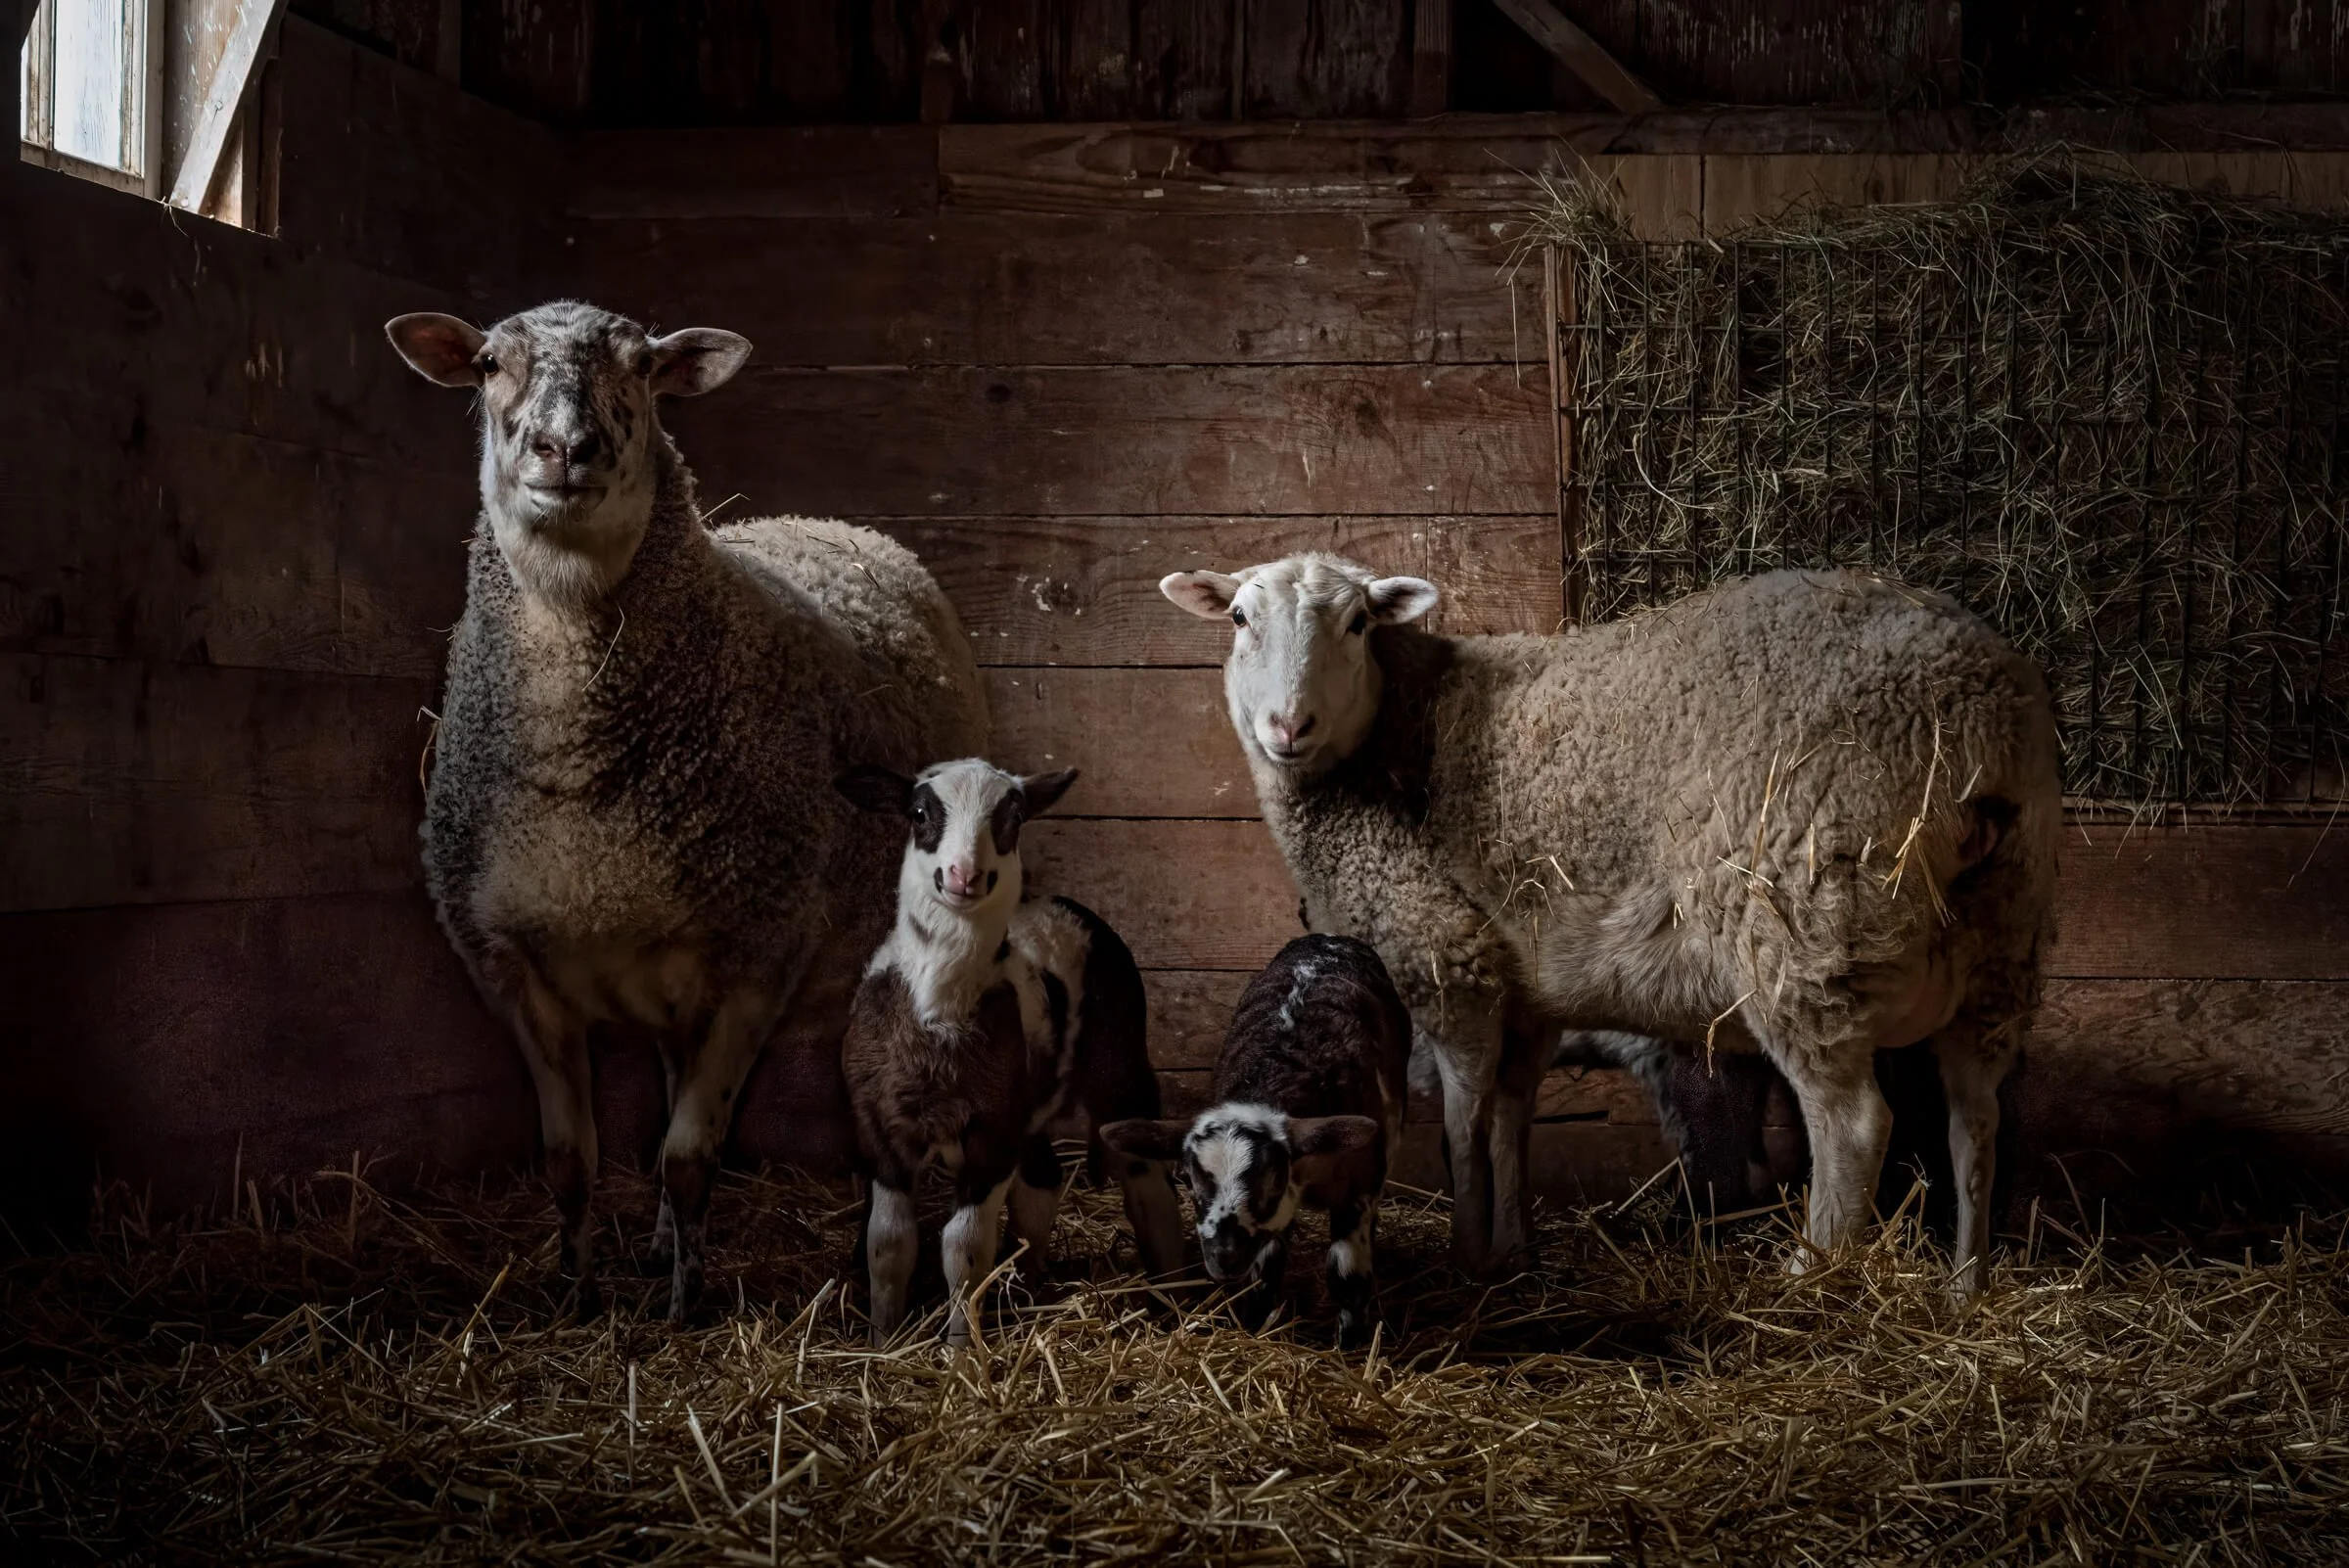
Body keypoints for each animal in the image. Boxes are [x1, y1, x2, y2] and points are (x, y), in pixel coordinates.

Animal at [385, 301, 987, 1321]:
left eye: (642, 368)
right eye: (491, 363)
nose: (565, 447)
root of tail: (822, 520)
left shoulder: (756, 957)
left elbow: (691, 1158)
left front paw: (683, 1306)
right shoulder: (513, 968)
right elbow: (572, 1162)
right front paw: (577, 1291)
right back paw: (660, 1244)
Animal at [835, 758, 1184, 1345]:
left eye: (1013, 817)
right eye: (920, 812)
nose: (964, 876)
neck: (939, 1007)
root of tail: (1061, 903)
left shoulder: (992, 1127)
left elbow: (964, 1252)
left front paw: (961, 1350)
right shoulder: (879, 1125)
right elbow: (888, 1243)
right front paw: (884, 1343)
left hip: (1119, 1067)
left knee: (1147, 1182)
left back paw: (1174, 1288)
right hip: (1030, 1103)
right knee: (1042, 1179)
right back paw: (1030, 1286)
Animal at [1101, 934, 1410, 1347]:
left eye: (1272, 1181)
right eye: (1190, 1181)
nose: (1224, 1257)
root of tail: (1328, 938)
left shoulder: (1362, 1183)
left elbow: (1348, 1277)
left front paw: (1351, 1346)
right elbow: (1264, 1272)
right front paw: (1256, 1325)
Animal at [1160, 557, 2059, 1298]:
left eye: (1357, 624)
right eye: (1238, 618)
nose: (1288, 728)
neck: (1389, 739)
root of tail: (1982, 723)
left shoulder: (1444, 957)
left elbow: (1461, 1127)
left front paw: (1466, 1254)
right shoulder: (1523, 992)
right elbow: (1510, 1121)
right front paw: (1512, 1248)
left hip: (1804, 922)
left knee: (1854, 1126)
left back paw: (1811, 1280)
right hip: (2001, 943)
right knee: (1977, 1119)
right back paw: (1966, 1286)